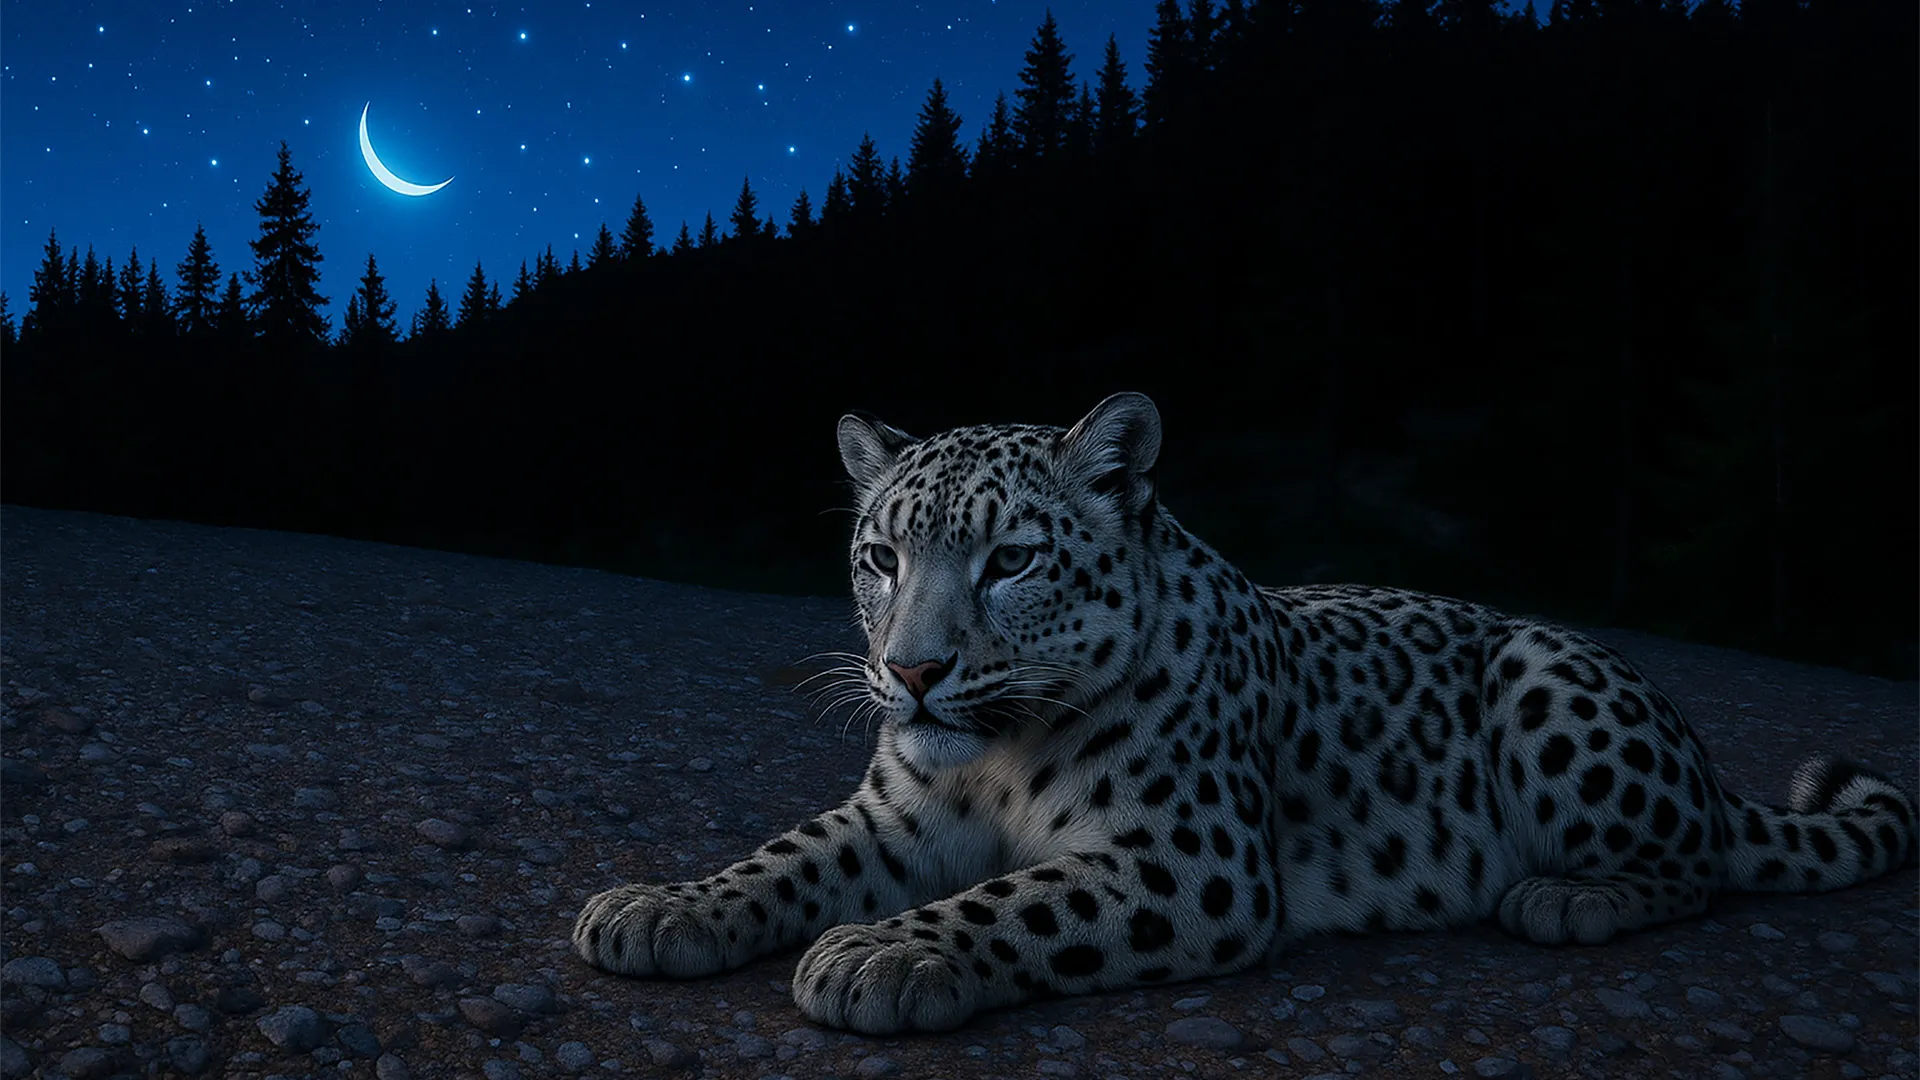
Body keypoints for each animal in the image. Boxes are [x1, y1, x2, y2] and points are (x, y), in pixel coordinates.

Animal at [572, 391, 1917, 1034]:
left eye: (1011, 561)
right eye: (880, 559)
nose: (911, 673)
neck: (994, 761)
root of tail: (1700, 757)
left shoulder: (1190, 860)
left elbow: (1016, 899)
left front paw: (881, 955)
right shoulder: (898, 818)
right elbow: (783, 857)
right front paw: (657, 908)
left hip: (1545, 679)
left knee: (1699, 866)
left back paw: (1562, 897)